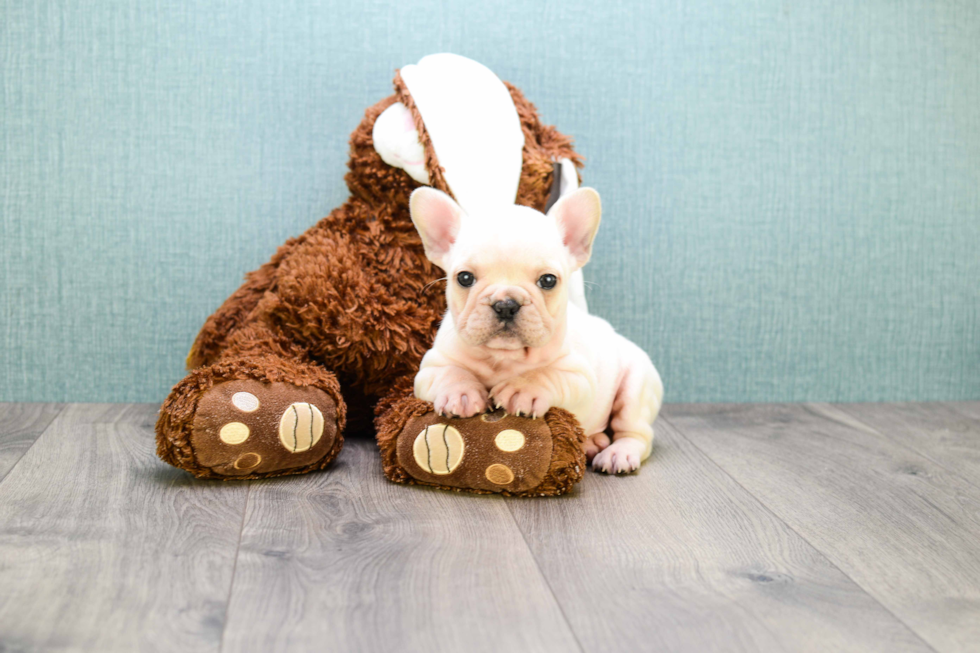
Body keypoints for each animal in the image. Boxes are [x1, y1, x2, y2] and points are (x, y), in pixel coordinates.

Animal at [406, 186, 668, 472]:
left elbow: (547, 373)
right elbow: (451, 372)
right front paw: (461, 392)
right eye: (464, 278)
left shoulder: (580, 377)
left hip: (636, 388)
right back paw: (592, 442)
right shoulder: (431, 366)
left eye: (548, 280)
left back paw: (617, 453)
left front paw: (522, 389)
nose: (505, 304)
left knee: (636, 433)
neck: (504, 357)